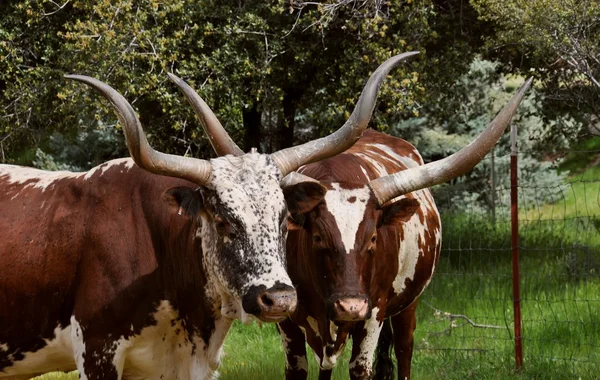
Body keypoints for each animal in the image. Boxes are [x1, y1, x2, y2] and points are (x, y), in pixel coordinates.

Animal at [195, 72, 532, 380]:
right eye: (317, 237)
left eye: (372, 239)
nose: (350, 307)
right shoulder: (285, 315)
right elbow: (298, 369)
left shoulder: (375, 313)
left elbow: (361, 368)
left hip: (408, 305)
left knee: (404, 350)